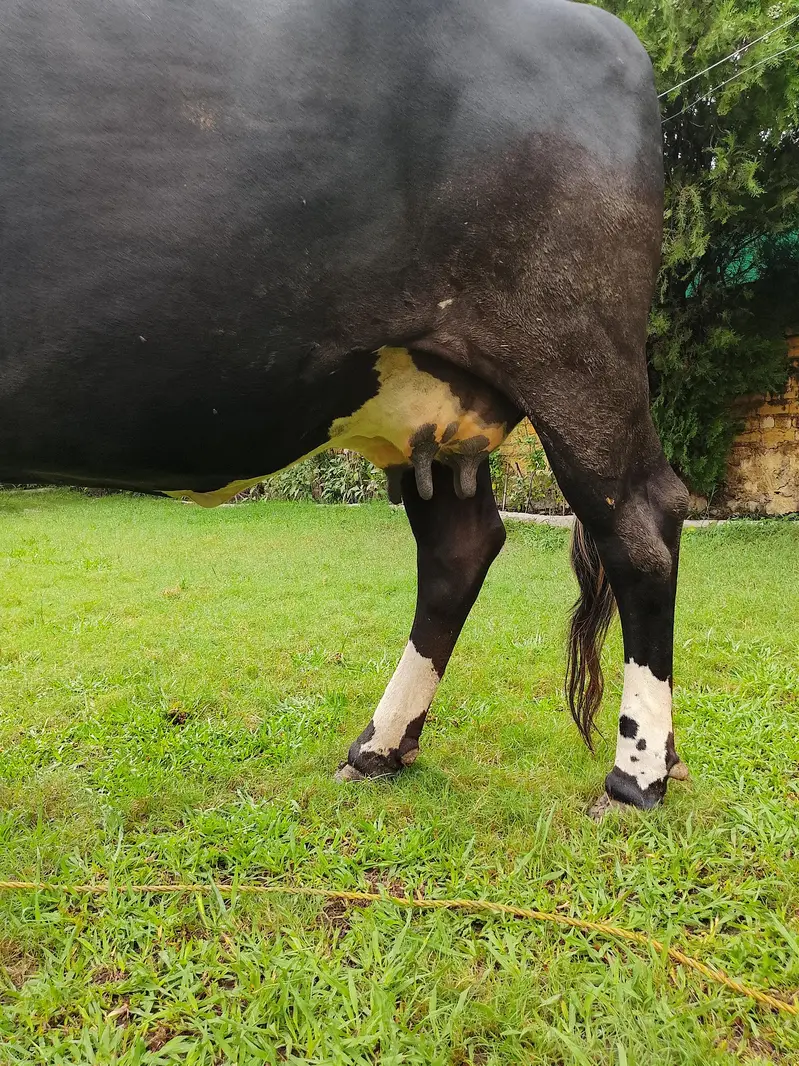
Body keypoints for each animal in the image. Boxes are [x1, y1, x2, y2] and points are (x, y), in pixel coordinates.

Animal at [0, 0, 690, 811]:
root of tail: (612, 31)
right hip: (438, 403)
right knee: (462, 545)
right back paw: (380, 748)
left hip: (575, 349)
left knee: (639, 524)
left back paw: (634, 776)